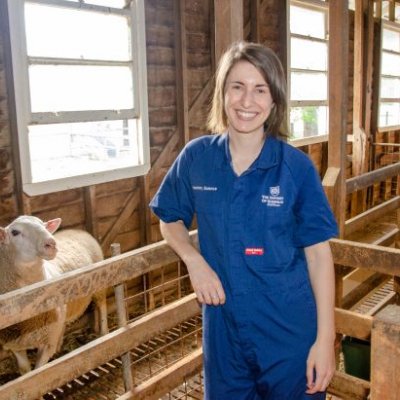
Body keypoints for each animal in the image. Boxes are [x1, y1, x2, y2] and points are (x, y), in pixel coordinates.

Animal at [0, 216, 108, 376]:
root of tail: (78, 230)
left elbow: (40, 372)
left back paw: (104, 332)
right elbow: (26, 373)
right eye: (15, 232)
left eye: (44, 225)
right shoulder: (15, 344)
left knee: (102, 306)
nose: (51, 243)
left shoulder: (47, 342)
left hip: (100, 283)